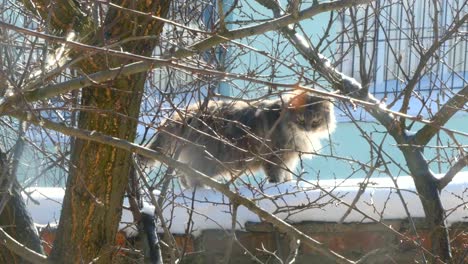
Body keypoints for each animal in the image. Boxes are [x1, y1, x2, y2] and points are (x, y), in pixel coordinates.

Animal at [148, 92, 334, 187]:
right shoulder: (274, 157)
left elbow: (287, 176)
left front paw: (287, 184)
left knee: (183, 175)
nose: (308, 128)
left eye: (316, 121)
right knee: (193, 178)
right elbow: (276, 176)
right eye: (301, 120)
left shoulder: (288, 159)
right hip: (208, 160)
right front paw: (277, 187)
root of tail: (184, 114)